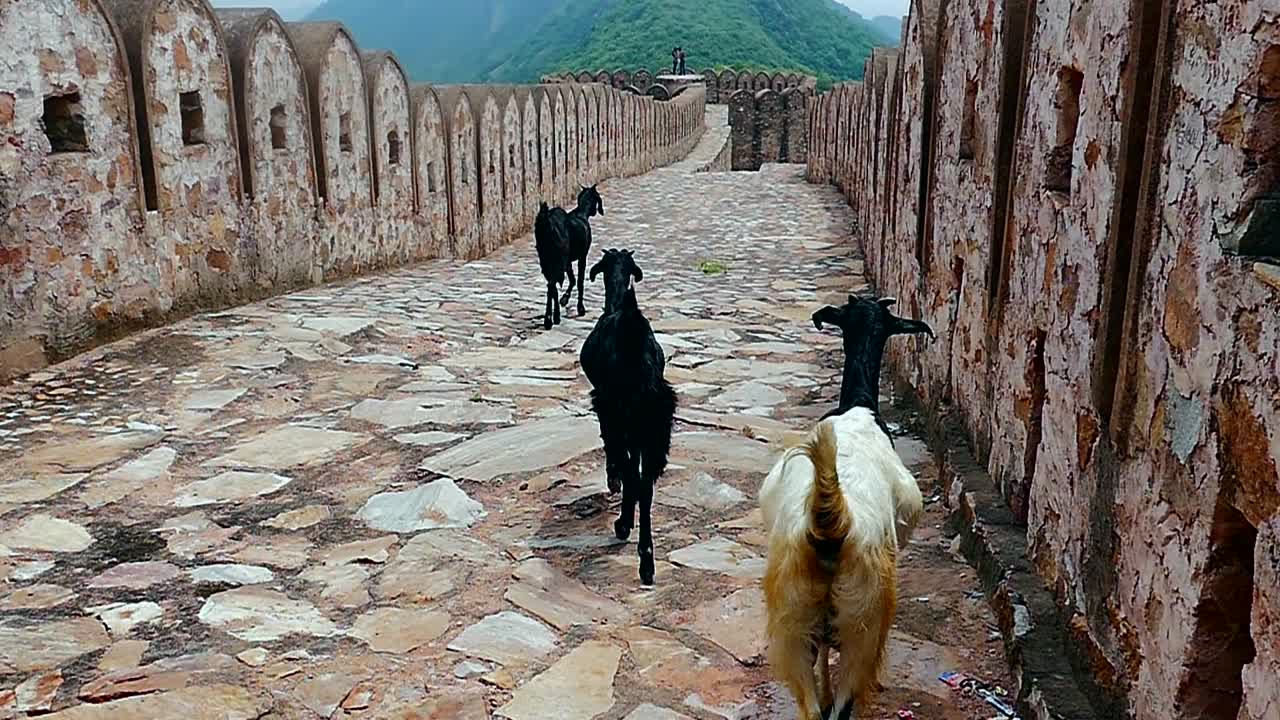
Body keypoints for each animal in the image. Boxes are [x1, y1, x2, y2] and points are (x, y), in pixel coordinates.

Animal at [579, 249, 676, 586]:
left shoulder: (605, 408)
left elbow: (615, 454)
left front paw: (613, 481)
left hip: (621, 414)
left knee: (633, 473)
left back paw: (625, 528)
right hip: (651, 427)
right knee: (646, 485)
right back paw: (647, 560)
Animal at [758, 294, 933, 720]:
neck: (858, 406)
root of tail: (830, 522)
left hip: (793, 615)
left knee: (811, 706)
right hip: (863, 621)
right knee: (843, 703)